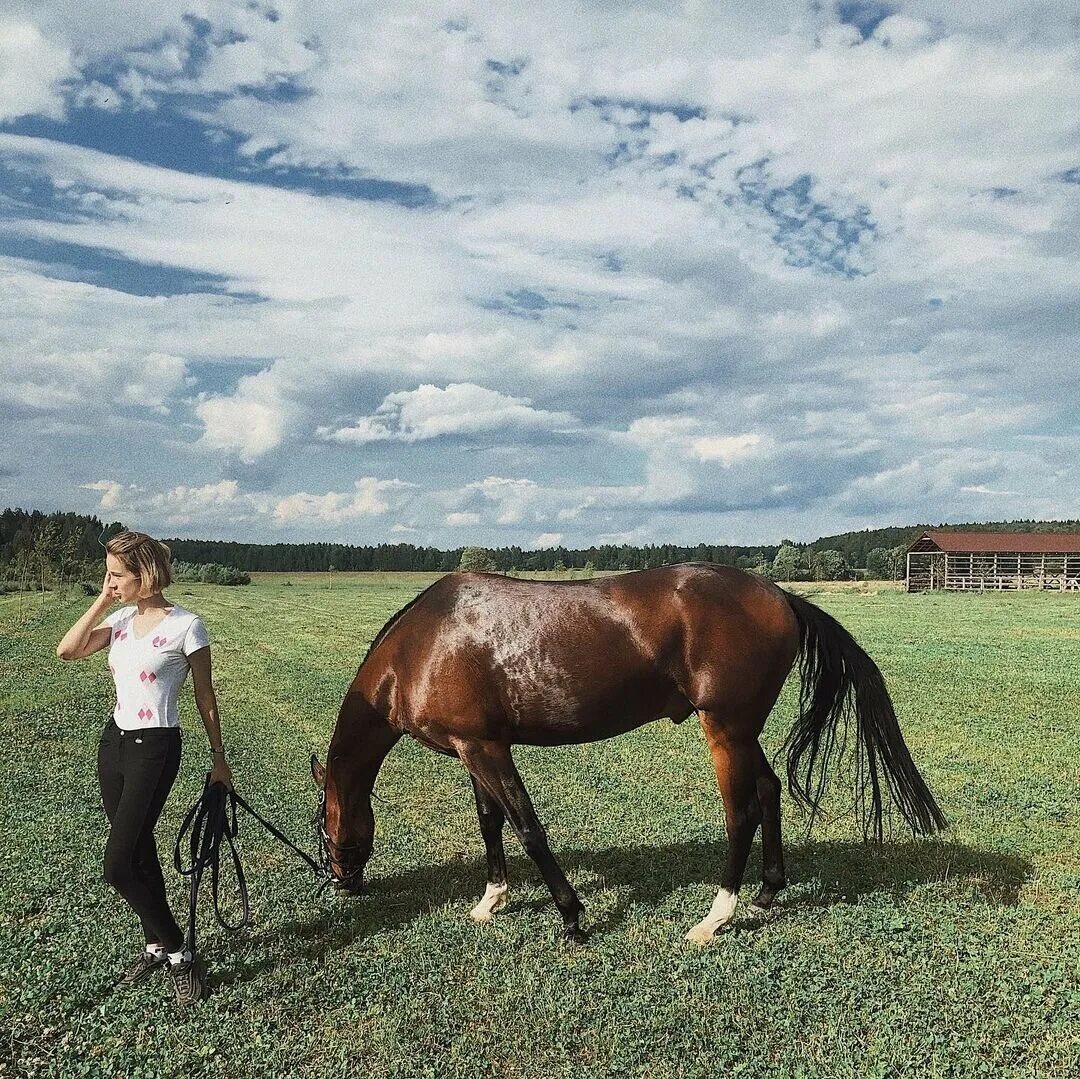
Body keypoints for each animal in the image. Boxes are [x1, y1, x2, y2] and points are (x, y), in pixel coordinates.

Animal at [308, 565, 941, 946]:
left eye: (320, 827)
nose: (344, 884)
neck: (422, 645)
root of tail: (779, 594)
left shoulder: (486, 748)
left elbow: (526, 826)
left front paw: (571, 915)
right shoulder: (474, 747)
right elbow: (491, 822)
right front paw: (491, 900)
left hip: (725, 730)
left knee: (740, 813)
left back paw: (715, 917)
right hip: (743, 732)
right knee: (767, 791)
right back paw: (765, 892)